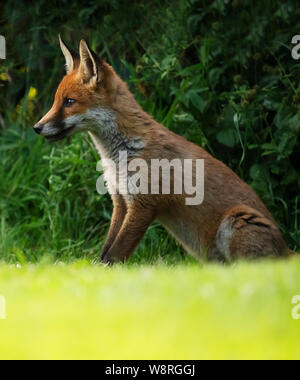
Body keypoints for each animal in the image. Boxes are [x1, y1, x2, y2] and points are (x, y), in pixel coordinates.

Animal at [34, 37, 294, 264]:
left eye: (69, 102)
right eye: (56, 101)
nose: (37, 127)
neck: (119, 157)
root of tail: (288, 249)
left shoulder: (143, 205)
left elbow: (115, 254)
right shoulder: (121, 201)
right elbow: (106, 251)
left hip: (236, 221)